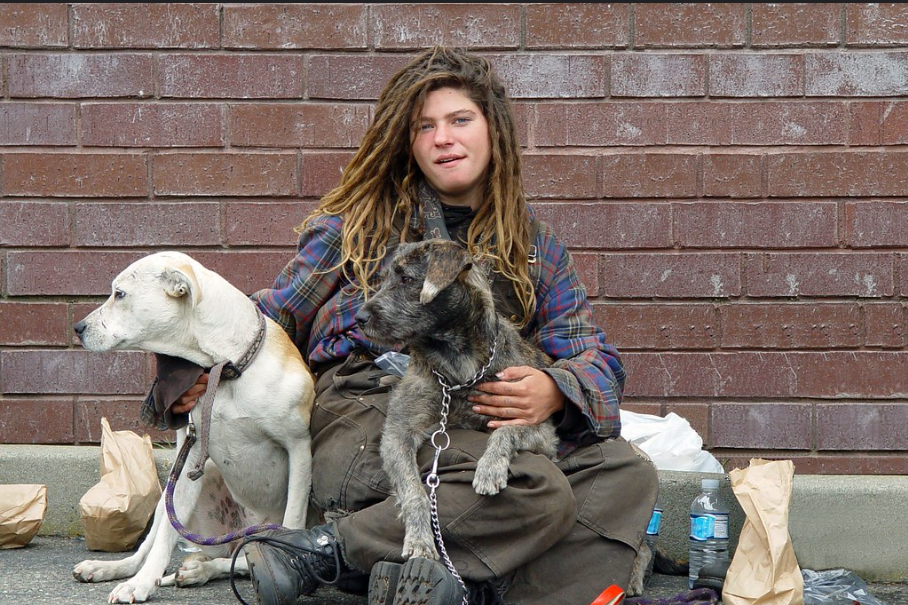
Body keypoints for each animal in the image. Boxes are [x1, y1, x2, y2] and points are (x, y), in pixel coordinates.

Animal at [71, 250, 314, 604]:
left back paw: (202, 569)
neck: (225, 367)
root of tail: (241, 529)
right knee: (155, 545)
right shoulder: (189, 459)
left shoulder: (299, 448)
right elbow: (163, 540)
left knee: (243, 558)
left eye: (120, 294)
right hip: (177, 491)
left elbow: (293, 520)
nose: (78, 328)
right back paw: (117, 569)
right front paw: (140, 584)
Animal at [356, 238, 560, 560]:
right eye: (384, 278)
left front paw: (490, 468)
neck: (456, 363)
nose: (359, 318)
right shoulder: (398, 435)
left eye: (406, 279)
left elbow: (506, 430)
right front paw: (419, 539)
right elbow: (413, 491)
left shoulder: (541, 430)